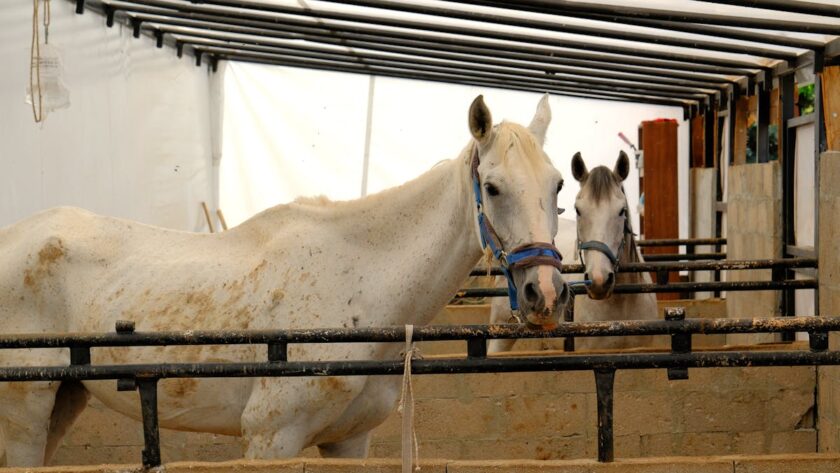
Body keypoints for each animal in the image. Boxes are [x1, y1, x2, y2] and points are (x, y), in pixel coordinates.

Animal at [0, 94, 571, 466]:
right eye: (492, 188)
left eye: (558, 184)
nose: (544, 293)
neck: (359, 283)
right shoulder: (270, 439)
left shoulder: (349, 442)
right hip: (24, 414)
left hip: (63, 401)